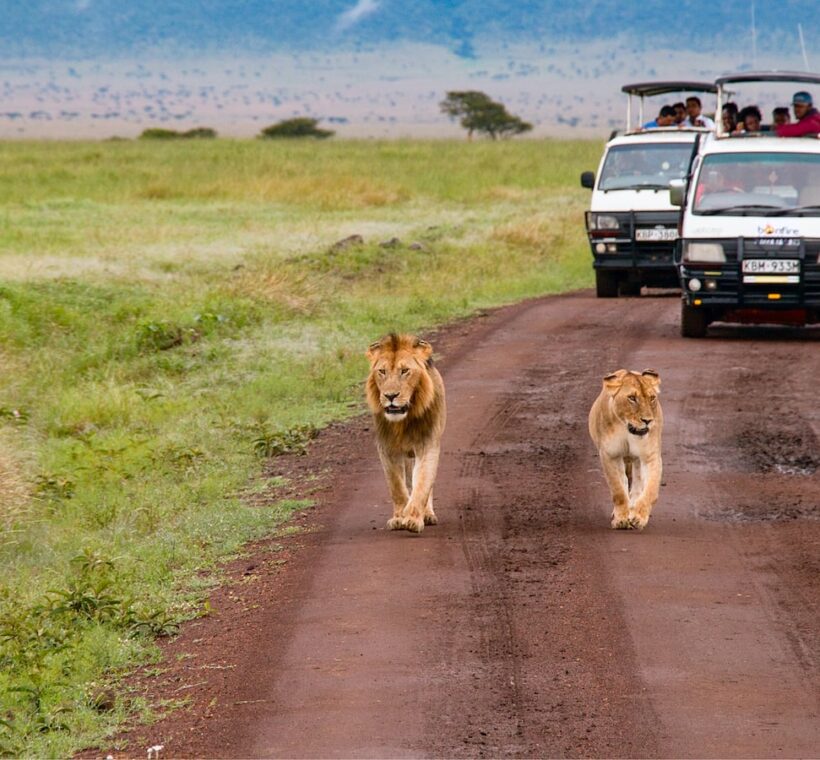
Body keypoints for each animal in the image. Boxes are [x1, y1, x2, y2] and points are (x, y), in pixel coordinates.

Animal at [366, 332, 446, 536]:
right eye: (382, 371)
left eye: (405, 371)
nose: (390, 396)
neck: (403, 422)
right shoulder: (387, 449)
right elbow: (396, 487)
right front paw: (399, 517)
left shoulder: (428, 446)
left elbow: (423, 483)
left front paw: (413, 519)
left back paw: (428, 514)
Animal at [588, 368, 664, 528]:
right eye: (632, 398)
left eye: (652, 398)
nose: (648, 420)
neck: (628, 430)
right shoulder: (610, 455)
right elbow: (618, 490)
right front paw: (621, 519)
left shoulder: (650, 455)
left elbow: (651, 490)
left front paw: (638, 517)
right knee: (624, 480)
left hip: (636, 460)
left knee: (637, 483)